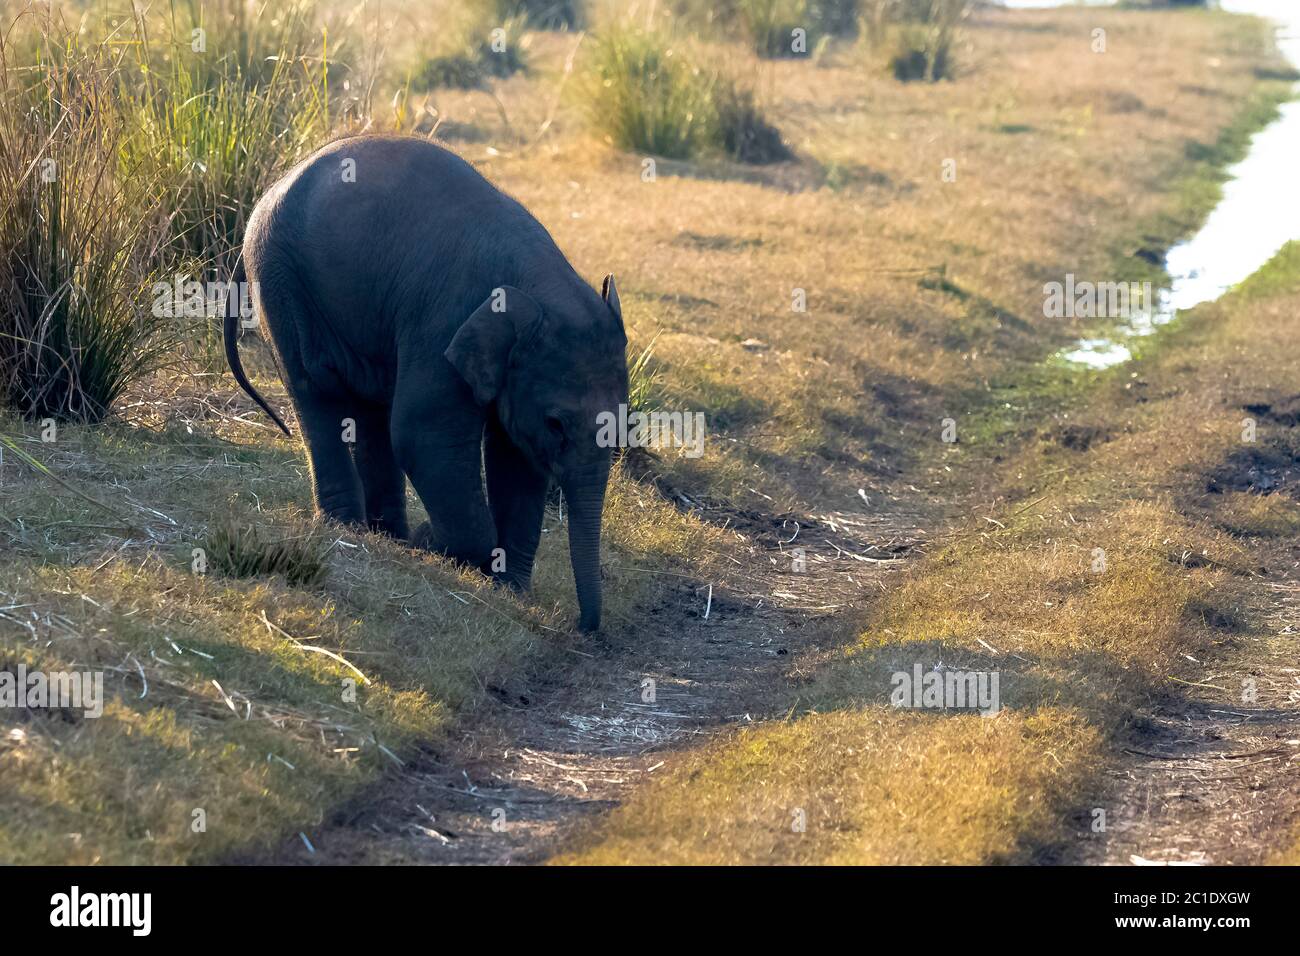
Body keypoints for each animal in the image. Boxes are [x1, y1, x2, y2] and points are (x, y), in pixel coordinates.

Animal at [230, 132, 634, 629]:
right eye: (556, 424)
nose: (584, 627)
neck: (538, 283)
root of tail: (271, 187)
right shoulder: (445, 320)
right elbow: (423, 435)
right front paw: (437, 544)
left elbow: (517, 461)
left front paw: (510, 588)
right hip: (284, 285)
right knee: (316, 391)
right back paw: (350, 529)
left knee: (370, 410)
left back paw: (389, 538)